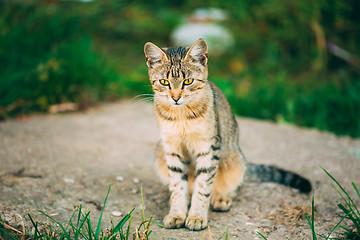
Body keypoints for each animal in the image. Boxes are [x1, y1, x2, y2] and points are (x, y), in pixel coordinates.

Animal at [143, 39, 312, 231]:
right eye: (164, 82)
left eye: (188, 81)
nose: (176, 97)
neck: (181, 116)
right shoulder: (172, 149)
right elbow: (178, 186)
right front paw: (177, 213)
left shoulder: (209, 148)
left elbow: (203, 187)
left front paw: (196, 216)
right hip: (160, 152)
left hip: (235, 159)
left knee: (232, 185)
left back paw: (221, 198)